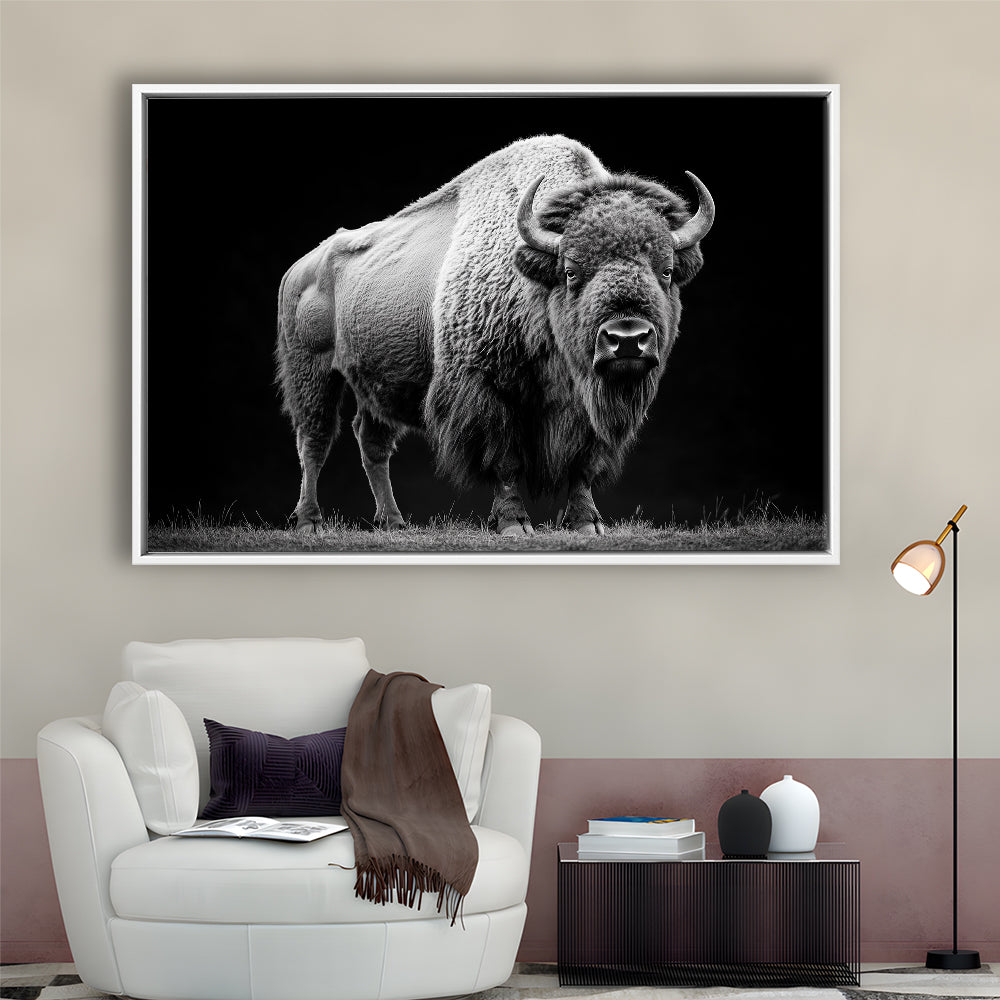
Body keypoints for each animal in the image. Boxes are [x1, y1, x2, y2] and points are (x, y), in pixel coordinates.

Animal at [276, 134, 713, 536]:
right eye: (571, 271)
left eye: (666, 271)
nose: (627, 338)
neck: (533, 284)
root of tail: (301, 267)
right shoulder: (487, 393)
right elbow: (504, 460)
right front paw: (513, 523)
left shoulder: (587, 407)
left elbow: (583, 465)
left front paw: (586, 523)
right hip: (311, 371)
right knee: (314, 440)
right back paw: (309, 522)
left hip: (375, 384)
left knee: (372, 443)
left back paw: (393, 522)